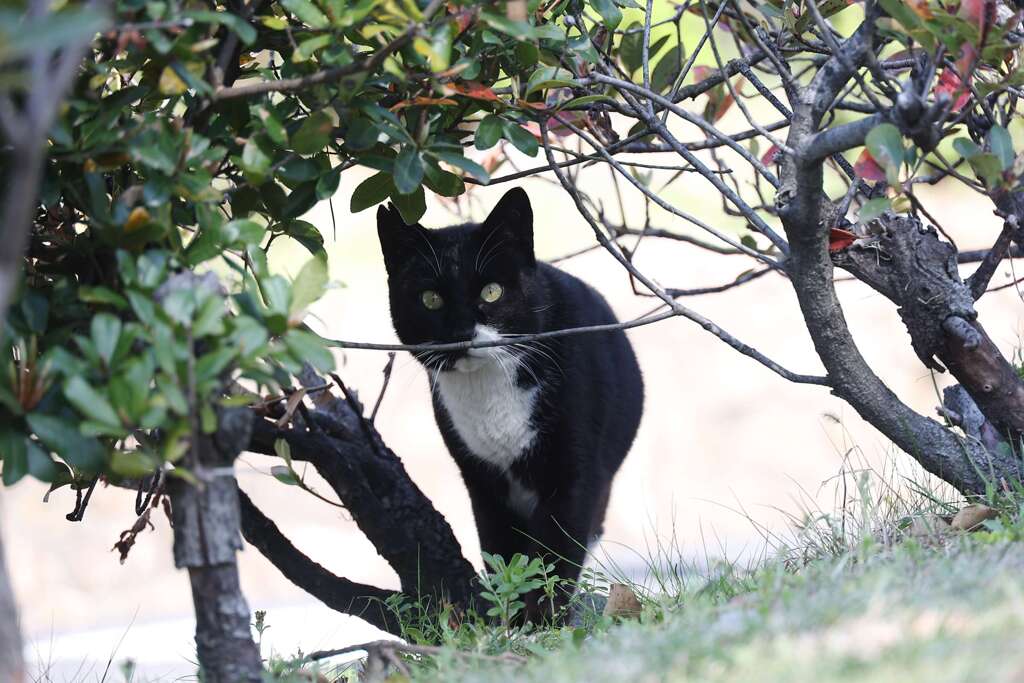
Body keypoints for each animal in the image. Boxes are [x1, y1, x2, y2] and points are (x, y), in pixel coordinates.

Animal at [376, 188, 647, 618]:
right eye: (430, 299)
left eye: (492, 291)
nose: (461, 331)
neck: (490, 394)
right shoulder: (482, 484)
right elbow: (503, 555)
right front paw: (512, 617)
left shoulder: (574, 475)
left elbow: (556, 556)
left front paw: (543, 623)